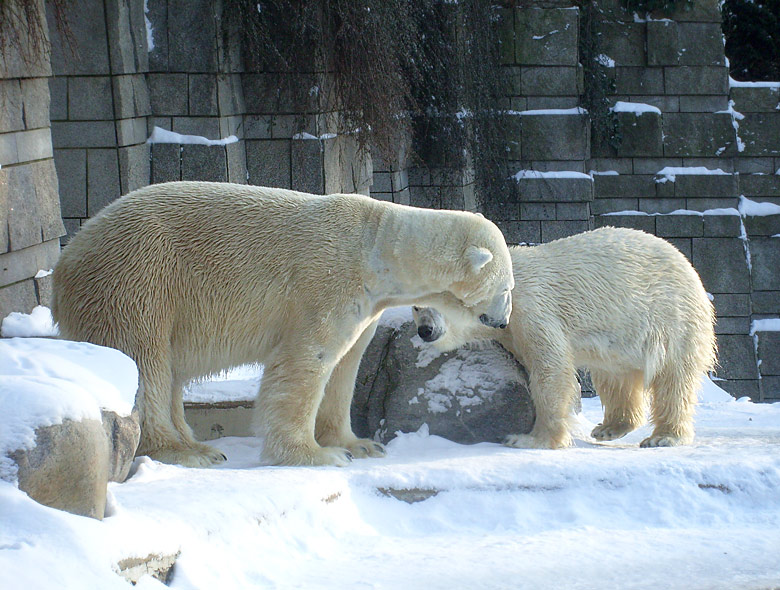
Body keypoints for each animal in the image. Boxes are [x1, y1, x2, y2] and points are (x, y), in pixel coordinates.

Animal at [54, 183, 516, 470]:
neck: (377, 249)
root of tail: (65, 261)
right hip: (139, 277)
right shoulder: (327, 283)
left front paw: (358, 444)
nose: (503, 319)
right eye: (508, 287)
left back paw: (197, 445)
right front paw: (314, 455)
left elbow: (345, 367)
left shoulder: (366, 305)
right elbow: (305, 361)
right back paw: (184, 451)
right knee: (143, 361)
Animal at [414, 229, 720, 450]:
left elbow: (551, 371)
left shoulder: (533, 309)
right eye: (415, 306)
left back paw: (664, 437)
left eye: (435, 303)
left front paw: (527, 439)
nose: (424, 330)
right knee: (615, 378)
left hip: (672, 320)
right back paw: (609, 428)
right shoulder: (513, 331)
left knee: (673, 378)